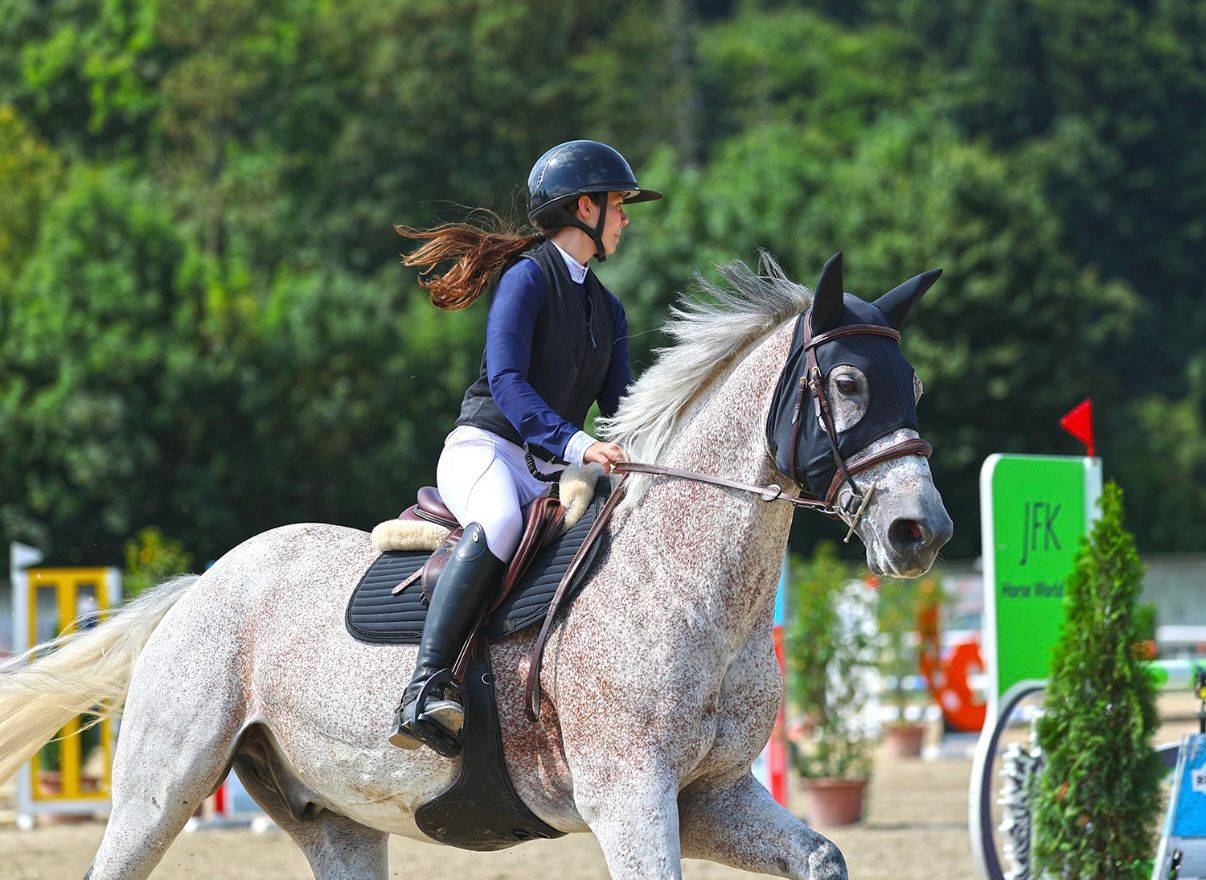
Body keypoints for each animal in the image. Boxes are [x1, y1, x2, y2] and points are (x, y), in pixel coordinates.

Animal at [0, 251, 951, 879]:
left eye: (913, 388)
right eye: (849, 385)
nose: (922, 532)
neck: (687, 588)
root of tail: (207, 586)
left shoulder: (709, 796)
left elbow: (822, 855)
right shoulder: (630, 797)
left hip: (334, 816)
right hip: (162, 789)